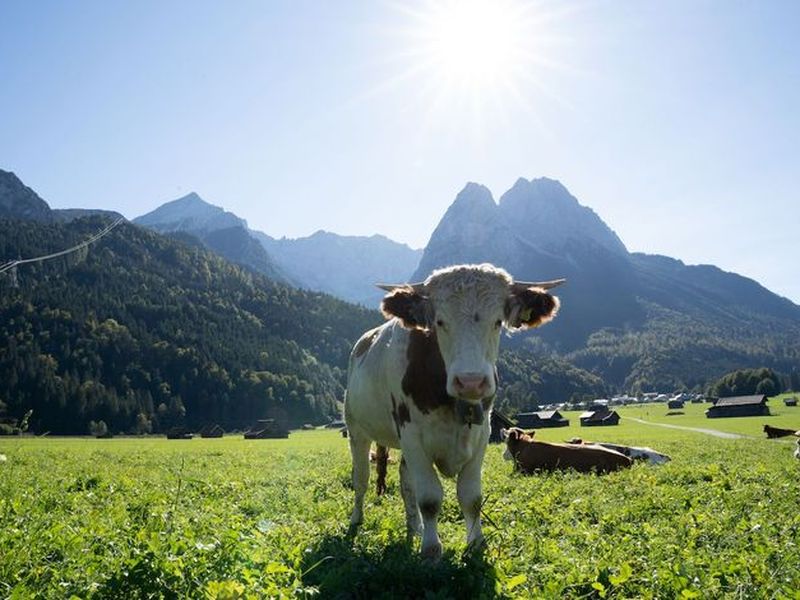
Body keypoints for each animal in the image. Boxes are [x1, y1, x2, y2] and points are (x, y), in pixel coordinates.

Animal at [344, 262, 564, 556]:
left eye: (498, 321)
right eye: (439, 322)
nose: (471, 381)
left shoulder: (482, 434)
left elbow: (471, 497)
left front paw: (475, 544)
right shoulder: (412, 435)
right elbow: (429, 498)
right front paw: (430, 550)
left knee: (405, 482)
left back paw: (414, 528)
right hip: (357, 430)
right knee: (361, 479)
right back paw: (356, 520)